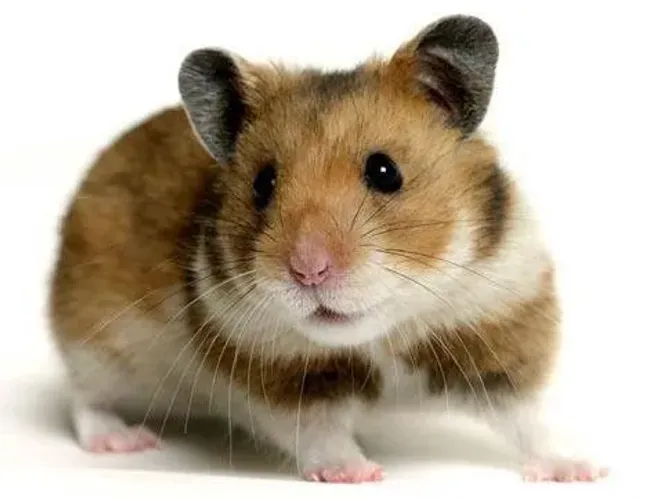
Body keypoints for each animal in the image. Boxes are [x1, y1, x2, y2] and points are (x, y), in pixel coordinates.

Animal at [48, 15, 607, 483]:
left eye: (385, 171)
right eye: (263, 184)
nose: (308, 271)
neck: (381, 334)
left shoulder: (497, 329)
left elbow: (531, 418)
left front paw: (583, 471)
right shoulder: (282, 376)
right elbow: (319, 431)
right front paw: (360, 475)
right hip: (94, 341)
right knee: (84, 399)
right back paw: (124, 441)